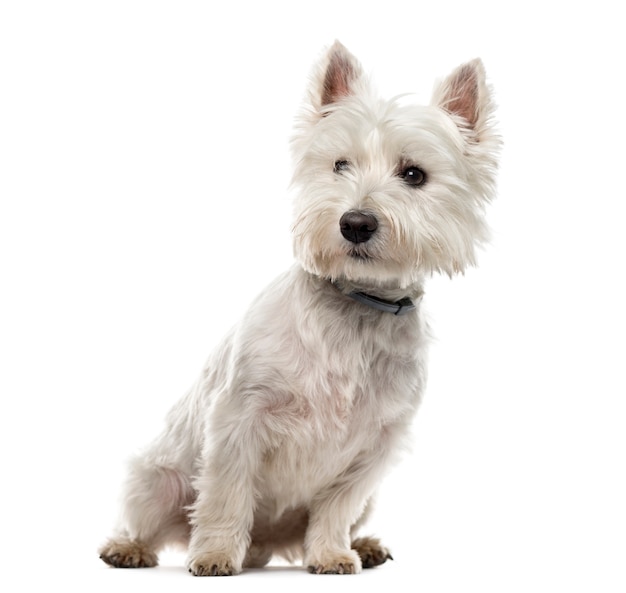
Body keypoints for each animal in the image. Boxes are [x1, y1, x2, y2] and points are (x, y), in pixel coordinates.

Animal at [98, 40, 498, 572]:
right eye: (340, 165)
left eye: (414, 174)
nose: (355, 223)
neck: (356, 303)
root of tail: (268, 544)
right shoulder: (238, 418)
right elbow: (225, 495)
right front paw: (216, 554)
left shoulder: (374, 447)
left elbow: (337, 506)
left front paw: (331, 554)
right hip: (159, 477)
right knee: (150, 515)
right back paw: (131, 548)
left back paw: (360, 545)